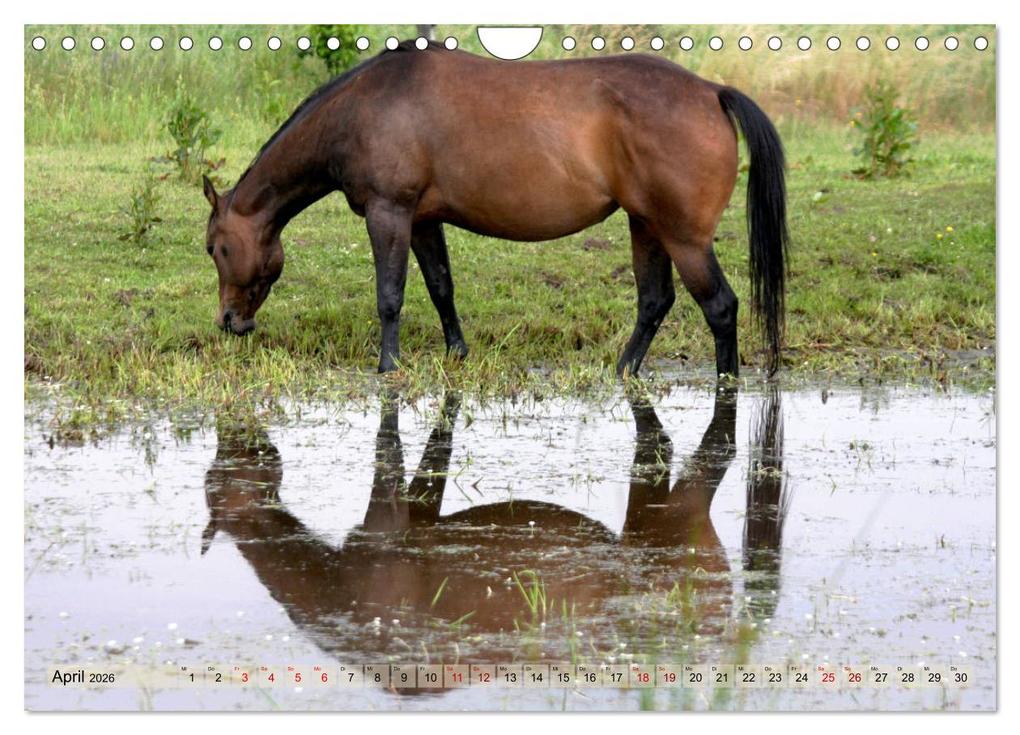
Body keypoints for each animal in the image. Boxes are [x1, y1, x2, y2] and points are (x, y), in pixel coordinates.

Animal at [202, 40, 789, 377]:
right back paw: (622, 372)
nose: (229, 322)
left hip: (684, 237)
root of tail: (711, 91)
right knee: (654, 301)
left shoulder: (389, 214)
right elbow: (440, 286)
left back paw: (726, 385)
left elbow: (390, 296)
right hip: (646, 225)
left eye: (215, 248)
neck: (365, 108)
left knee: (720, 307)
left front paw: (387, 366)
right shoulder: (422, 220)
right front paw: (456, 353)